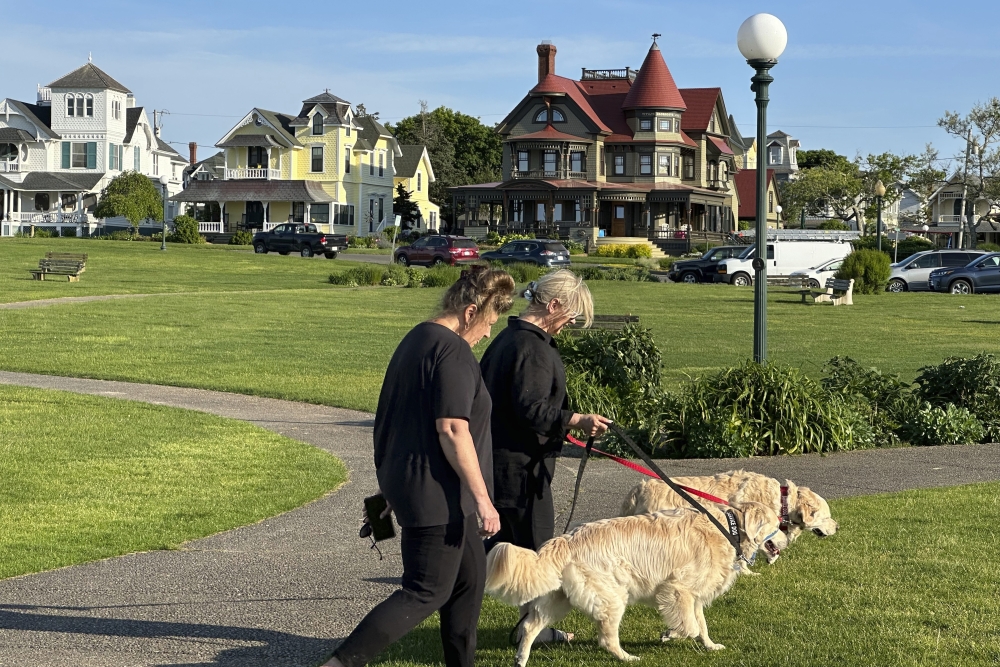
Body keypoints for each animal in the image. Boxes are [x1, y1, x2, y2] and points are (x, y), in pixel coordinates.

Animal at [486, 500, 788, 664]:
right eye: (777, 525)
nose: (788, 541)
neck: (729, 528)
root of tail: (566, 539)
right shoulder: (676, 589)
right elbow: (690, 626)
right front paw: (671, 634)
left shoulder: (694, 595)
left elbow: (701, 625)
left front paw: (710, 646)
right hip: (612, 597)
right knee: (606, 639)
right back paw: (627, 657)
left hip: (559, 599)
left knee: (529, 626)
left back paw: (521, 659)